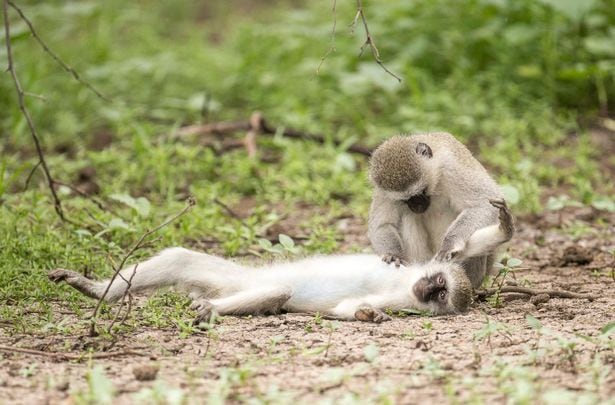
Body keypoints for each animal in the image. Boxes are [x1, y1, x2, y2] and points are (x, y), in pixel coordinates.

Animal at [49, 199, 516, 322]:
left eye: (440, 297)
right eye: (438, 284)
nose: (428, 289)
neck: (406, 286)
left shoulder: (403, 300)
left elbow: (351, 308)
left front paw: (366, 315)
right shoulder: (425, 261)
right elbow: (464, 247)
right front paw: (504, 225)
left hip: (235, 285)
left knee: (276, 291)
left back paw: (208, 307)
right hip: (230, 273)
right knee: (181, 257)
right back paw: (95, 289)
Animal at [368, 131, 508, 286]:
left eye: (422, 191)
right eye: (405, 200)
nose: (417, 206)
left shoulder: (451, 167)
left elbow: (484, 202)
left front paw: (449, 244)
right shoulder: (381, 191)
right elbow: (382, 225)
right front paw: (393, 255)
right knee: (407, 216)